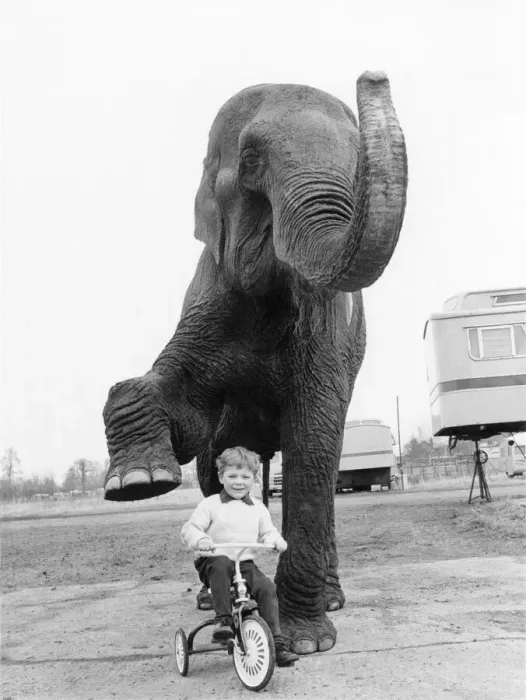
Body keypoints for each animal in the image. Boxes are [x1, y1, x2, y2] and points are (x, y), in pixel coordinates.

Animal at [102, 72, 407, 655]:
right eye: (248, 161)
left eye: (359, 162)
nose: (374, 77)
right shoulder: (209, 295)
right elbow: (186, 423)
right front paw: (138, 482)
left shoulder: (325, 325)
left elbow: (314, 436)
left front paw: (306, 642)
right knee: (208, 466)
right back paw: (208, 596)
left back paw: (331, 599)